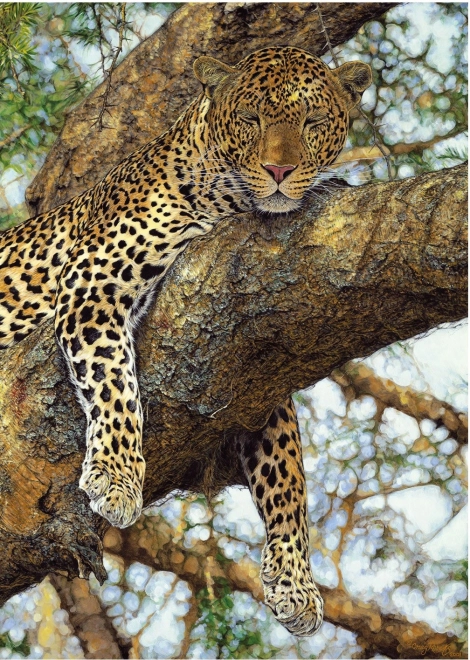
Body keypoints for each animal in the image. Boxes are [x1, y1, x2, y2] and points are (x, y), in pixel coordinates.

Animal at [0, 46, 371, 636]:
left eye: (313, 122)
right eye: (250, 119)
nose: (280, 172)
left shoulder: (257, 373)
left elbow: (288, 470)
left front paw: (295, 580)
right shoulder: (92, 282)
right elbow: (115, 385)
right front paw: (116, 478)